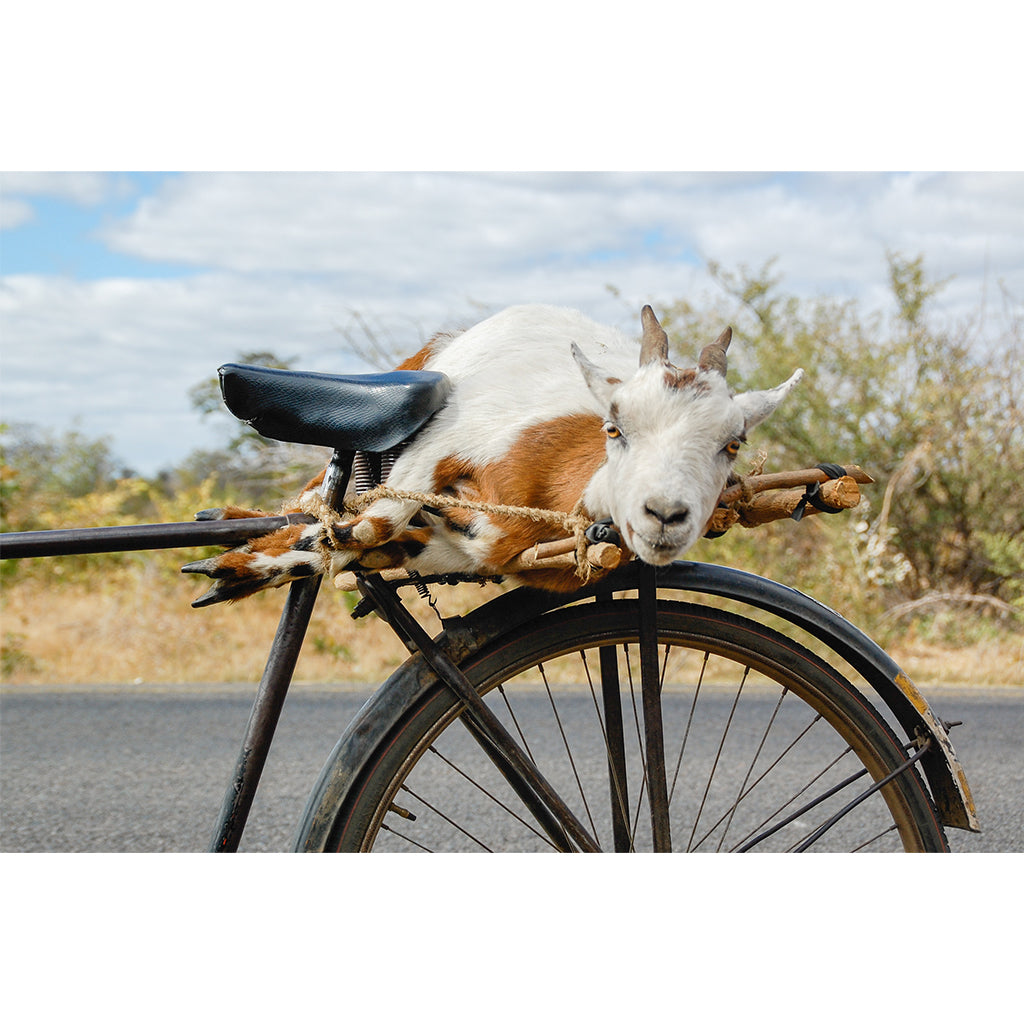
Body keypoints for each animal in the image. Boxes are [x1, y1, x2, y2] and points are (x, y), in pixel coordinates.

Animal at [186, 307, 806, 602]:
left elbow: (395, 542)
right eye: (614, 427)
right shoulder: (441, 443)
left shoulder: (490, 552)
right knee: (318, 496)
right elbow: (369, 525)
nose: (665, 515)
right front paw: (236, 568)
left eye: (733, 444)